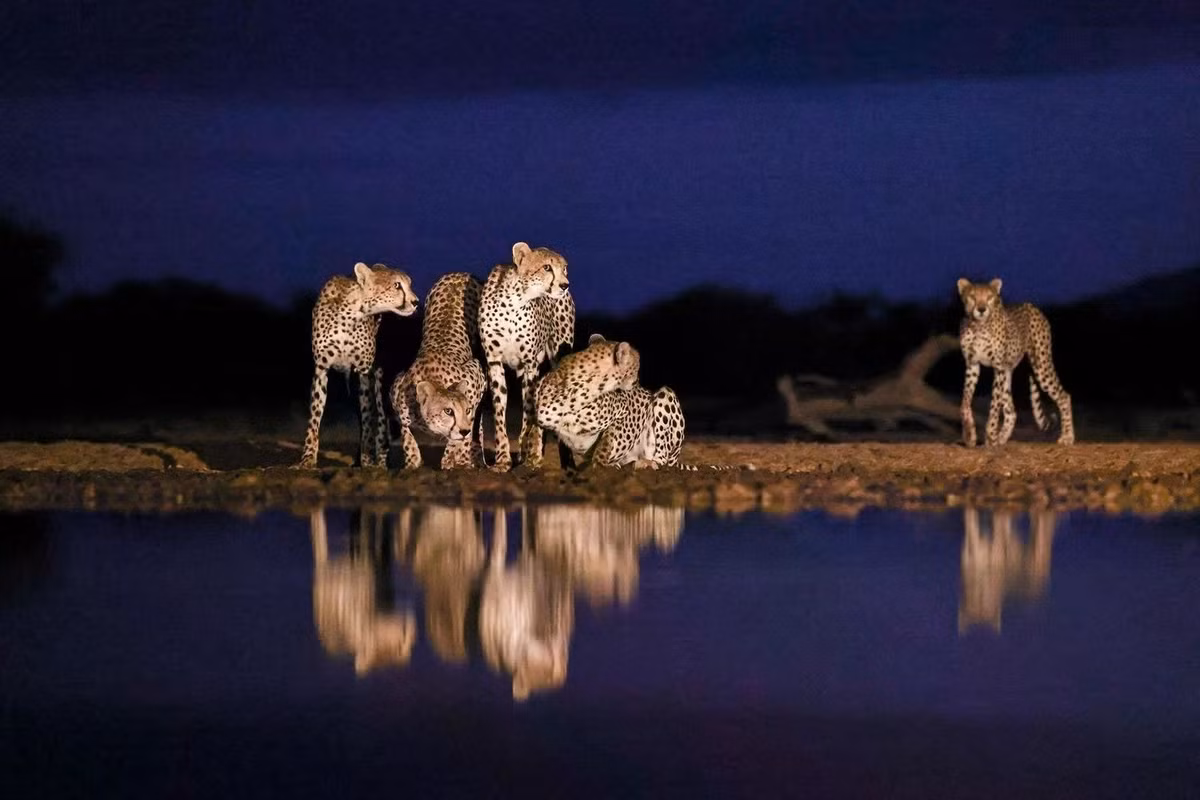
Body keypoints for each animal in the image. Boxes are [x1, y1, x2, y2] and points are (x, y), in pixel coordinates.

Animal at [299, 262, 419, 468]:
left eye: (409, 284)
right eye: (397, 285)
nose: (416, 302)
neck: (351, 313)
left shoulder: (364, 372)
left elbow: (368, 419)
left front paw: (367, 460)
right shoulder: (321, 369)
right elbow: (314, 418)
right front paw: (307, 460)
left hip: (379, 379)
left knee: (381, 419)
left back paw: (381, 461)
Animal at [389, 272, 486, 470]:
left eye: (466, 410)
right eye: (448, 411)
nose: (464, 430)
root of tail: (460, 273)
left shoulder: (477, 375)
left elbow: (466, 431)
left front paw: (454, 457)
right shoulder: (397, 391)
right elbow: (406, 434)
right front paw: (412, 461)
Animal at [478, 242, 574, 472]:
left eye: (564, 269)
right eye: (547, 267)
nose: (565, 285)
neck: (515, 300)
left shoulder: (531, 364)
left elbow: (530, 412)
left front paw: (529, 453)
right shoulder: (494, 362)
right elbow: (499, 412)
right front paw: (503, 458)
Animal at [533, 334, 685, 470]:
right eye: (637, 365)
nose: (637, 381)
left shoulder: (626, 413)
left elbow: (606, 442)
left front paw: (599, 466)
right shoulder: (540, 417)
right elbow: (535, 438)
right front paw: (534, 463)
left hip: (666, 394)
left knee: (663, 459)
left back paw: (647, 463)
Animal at [957, 277, 1075, 447]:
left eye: (989, 297)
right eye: (972, 296)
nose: (981, 309)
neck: (978, 326)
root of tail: (1031, 305)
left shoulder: (998, 367)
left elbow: (994, 406)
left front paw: (990, 436)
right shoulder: (972, 364)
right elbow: (965, 401)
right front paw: (969, 434)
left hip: (1041, 365)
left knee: (1064, 396)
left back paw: (1067, 437)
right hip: (1008, 373)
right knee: (1011, 411)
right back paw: (1001, 439)